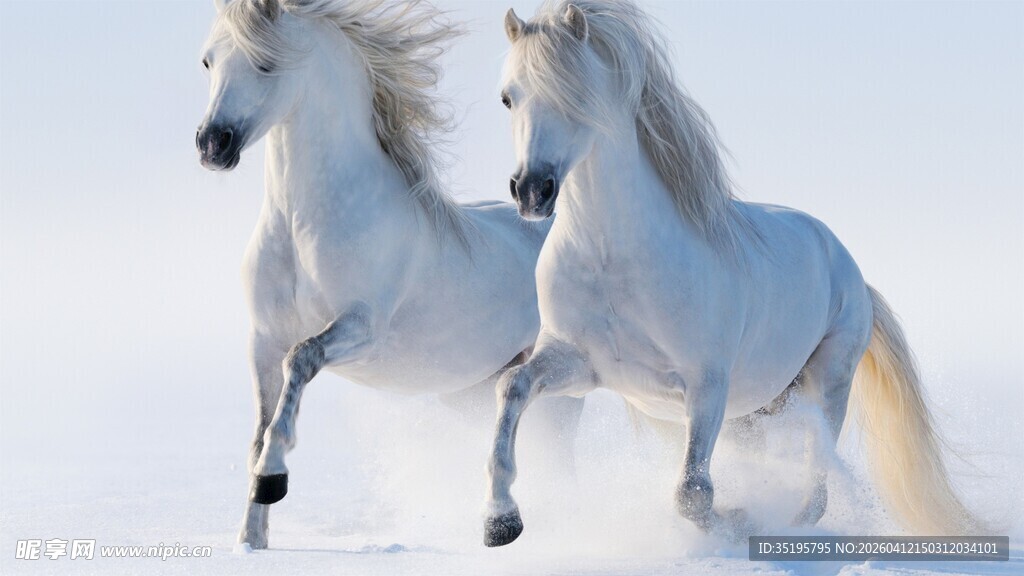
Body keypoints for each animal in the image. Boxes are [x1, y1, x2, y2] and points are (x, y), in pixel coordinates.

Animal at [195, 0, 583, 550]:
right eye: (208, 61)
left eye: (266, 63)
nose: (213, 145)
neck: (302, 225)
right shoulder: (262, 339)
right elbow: (258, 428)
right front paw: (251, 539)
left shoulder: (361, 328)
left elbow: (301, 360)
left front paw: (273, 479)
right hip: (471, 392)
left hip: (561, 388)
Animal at [482, 0, 981, 546]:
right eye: (508, 98)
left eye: (575, 94)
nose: (532, 191)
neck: (614, 261)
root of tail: (849, 269)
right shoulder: (579, 366)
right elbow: (512, 387)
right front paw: (500, 521)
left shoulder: (706, 385)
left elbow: (692, 494)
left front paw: (738, 522)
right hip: (756, 412)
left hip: (826, 383)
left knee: (817, 487)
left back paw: (783, 527)